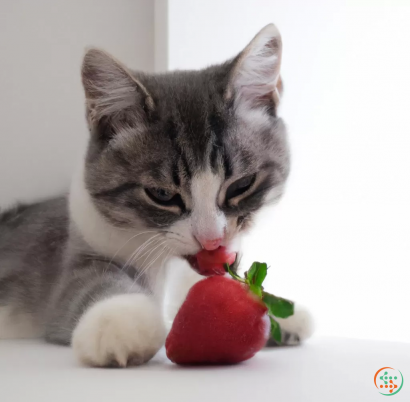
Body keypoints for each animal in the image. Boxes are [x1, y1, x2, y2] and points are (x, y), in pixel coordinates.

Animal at [0, 23, 312, 366]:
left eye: (241, 185)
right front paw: (119, 321)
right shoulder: (79, 252)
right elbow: (91, 283)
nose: (211, 241)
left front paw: (284, 314)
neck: (170, 260)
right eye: (162, 194)